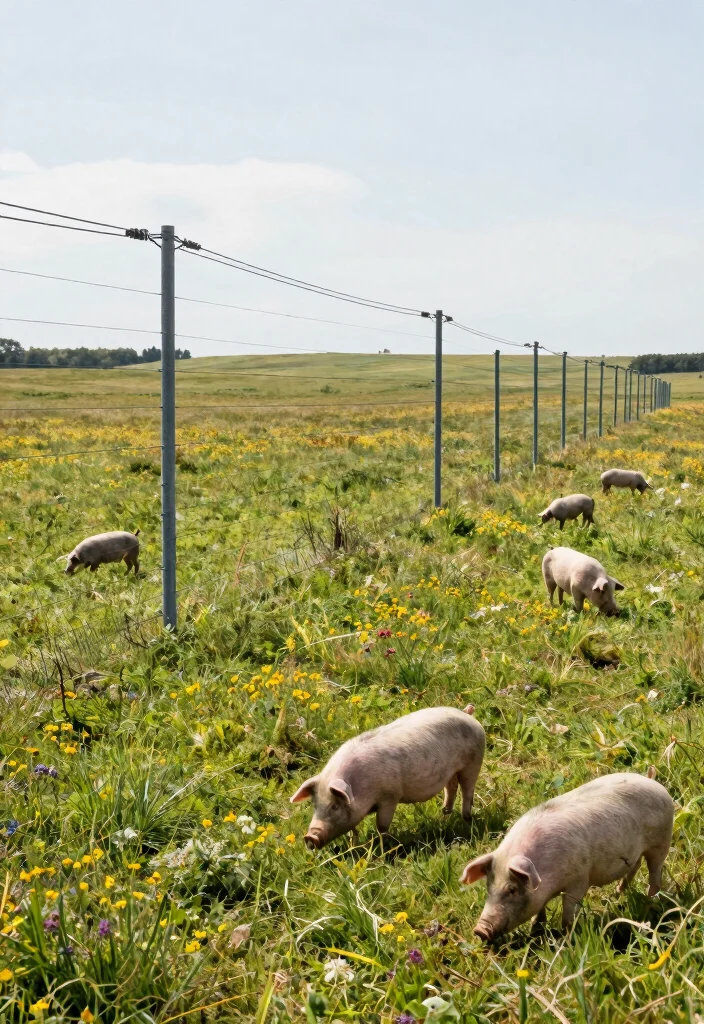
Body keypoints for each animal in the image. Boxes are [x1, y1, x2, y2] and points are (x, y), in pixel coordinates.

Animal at [290, 706, 485, 849]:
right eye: (315, 805)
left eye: (335, 806)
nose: (310, 837)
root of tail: (466, 713)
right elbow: (353, 829)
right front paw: (354, 845)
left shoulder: (390, 796)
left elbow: (382, 826)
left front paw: (384, 849)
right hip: (452, 771)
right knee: (451, 788)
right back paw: (444, 816)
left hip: (473, 762)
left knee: (467, 791)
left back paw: (467, 821)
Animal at [461, 771, 673, 941]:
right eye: (489, 886)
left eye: (512, 889)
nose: (480, 931)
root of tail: (652, 781)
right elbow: (539, 909)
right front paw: (535, 931)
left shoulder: (579, 879)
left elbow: (569, 910)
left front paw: (566, 938)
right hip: (636, 851)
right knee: (635, 866)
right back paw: (617, 894)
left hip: (661, 842)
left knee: (655, 874)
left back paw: (648, 904)